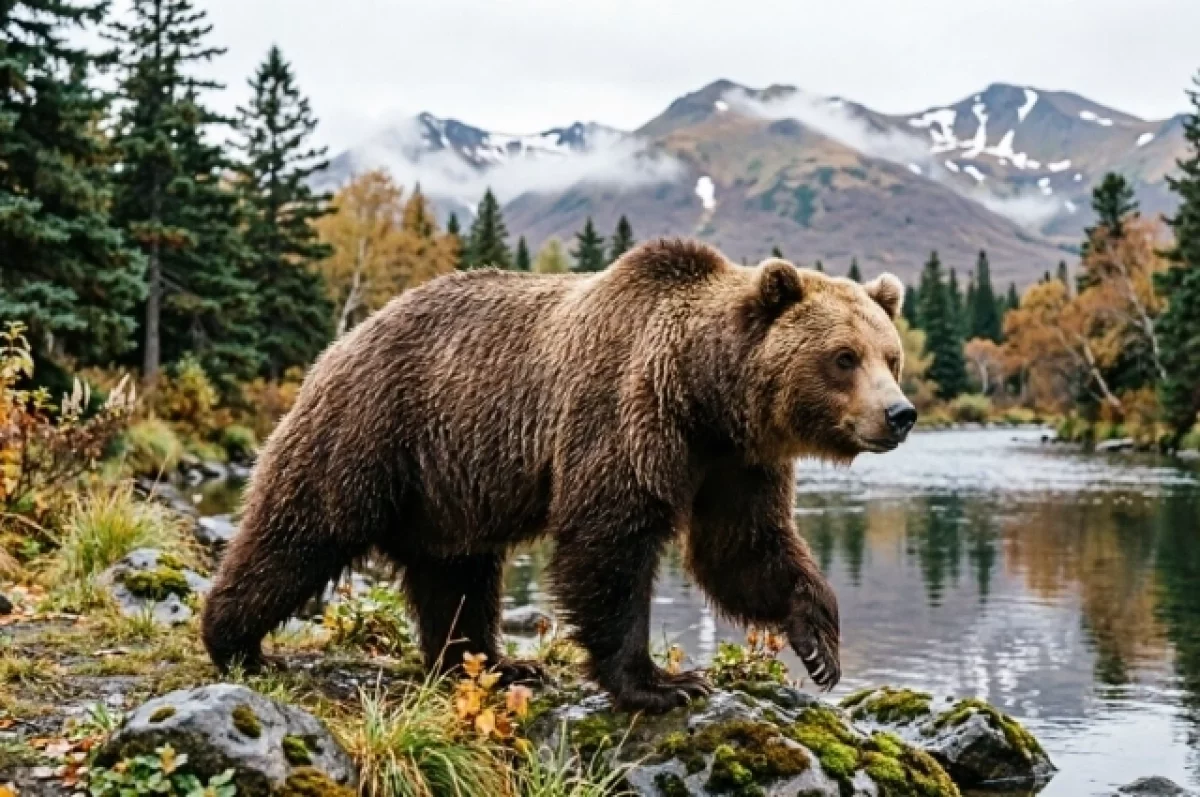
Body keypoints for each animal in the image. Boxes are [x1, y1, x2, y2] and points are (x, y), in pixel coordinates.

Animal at [201, 238, 916, 712]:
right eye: (843, 357)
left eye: (890, 355)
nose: (900, 413)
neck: (704, 394)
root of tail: (344, 339)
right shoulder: (624, 415)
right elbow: (609, 545)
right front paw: (663, 683)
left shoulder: (737, 462)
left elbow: (742, 548)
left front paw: (819, 646)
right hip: (375, 430)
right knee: (302, 529)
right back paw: (234, 641)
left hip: (448, 482)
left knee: (456, 574)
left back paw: (493, 664)